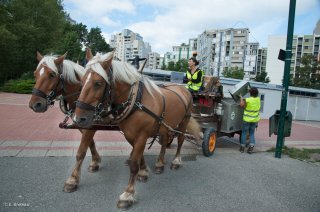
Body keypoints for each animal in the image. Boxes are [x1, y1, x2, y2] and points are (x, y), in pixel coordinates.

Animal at [29, 51, 101, 192]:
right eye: (35, 74)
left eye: (52, 75)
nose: (35, 105)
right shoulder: (82, 124)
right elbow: (90, 143)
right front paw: (95, 162)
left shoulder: (92, 125)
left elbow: (81, 151)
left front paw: (73, 180)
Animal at [74, 48, 200, 210]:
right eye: (82, 81)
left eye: (98, 83)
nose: (79, 119)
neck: (136, 100)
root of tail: (182, 88)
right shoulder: (130, 134)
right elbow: (138, 155)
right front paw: (144, 171)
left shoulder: (142, 135)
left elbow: (134, 163)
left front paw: (128, 194)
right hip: (165, 125)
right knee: (165, 140)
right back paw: (160, 163)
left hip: (184, 120)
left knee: (180, 140)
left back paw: (176, 161)